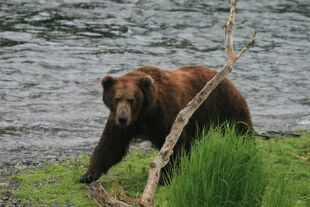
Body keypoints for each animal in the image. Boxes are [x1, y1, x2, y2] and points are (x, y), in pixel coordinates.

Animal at [80, 65, 252, 184]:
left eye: (131, 99)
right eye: (116, 98)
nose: (123, 117)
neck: (144, 113)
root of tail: (228, 81)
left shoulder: (165, 114)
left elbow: (172, 145)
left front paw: (164, 177)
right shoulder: (122, 124)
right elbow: (110, 145)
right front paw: (88, 175)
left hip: (224, 106)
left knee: (241, 129)